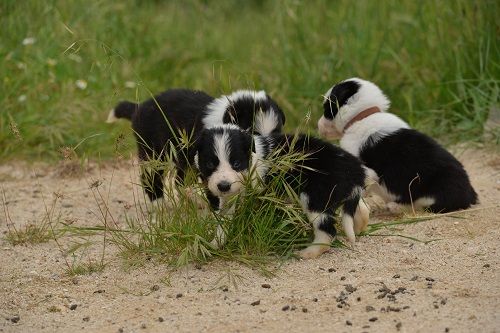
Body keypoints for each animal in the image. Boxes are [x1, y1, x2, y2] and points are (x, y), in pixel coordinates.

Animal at [107, 88, 284, 201]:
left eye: (276, 132)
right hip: (154, 153)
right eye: (253, 131)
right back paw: (159, 206)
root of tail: (139, 107)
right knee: (151, 178)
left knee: (178, 181)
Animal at [195, 124, 372, 256]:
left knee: (327, 231)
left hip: (315, 199)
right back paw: (358, 228)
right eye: (210, 164)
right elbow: (223, 220)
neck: (252, 156)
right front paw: (214, 243)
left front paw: (211, 245)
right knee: (361, 210)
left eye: (236, 163)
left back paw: (308, 252)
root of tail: (355, 169)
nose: (223, 186)